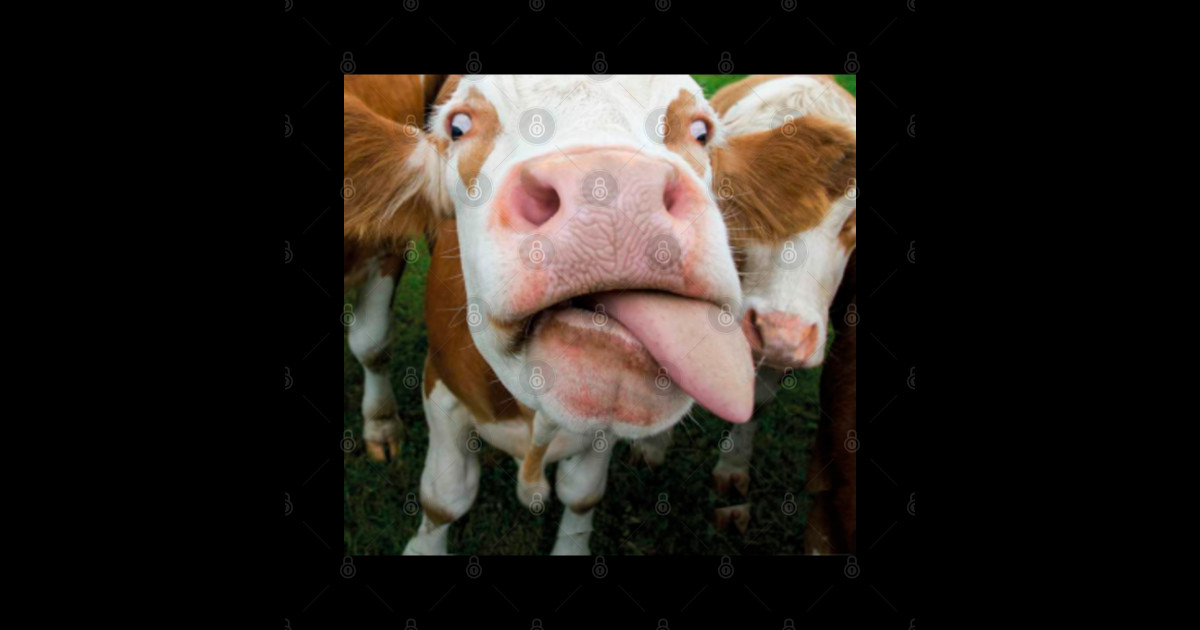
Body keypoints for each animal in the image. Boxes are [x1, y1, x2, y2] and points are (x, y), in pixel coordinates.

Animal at [345, 75, 772, 555]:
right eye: (458, 126)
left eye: (700, 131)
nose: (611, 191)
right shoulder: (441, 385)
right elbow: (444, 499)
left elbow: (582, 494)